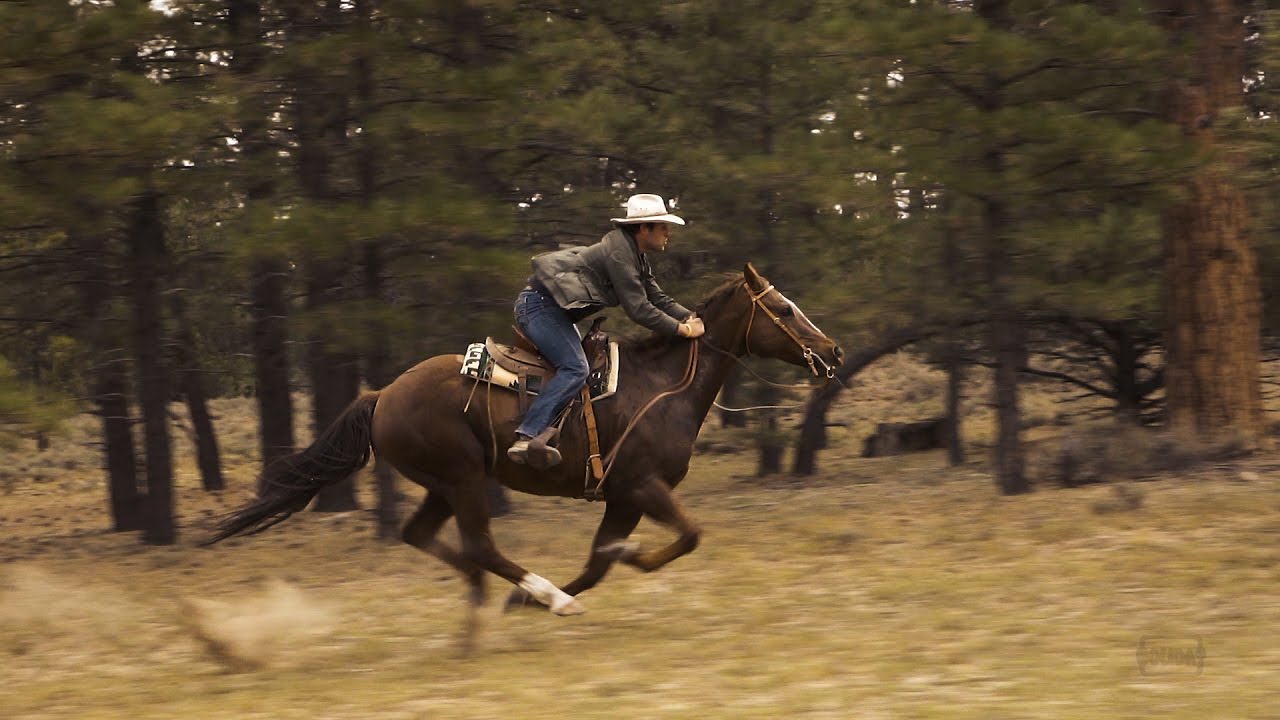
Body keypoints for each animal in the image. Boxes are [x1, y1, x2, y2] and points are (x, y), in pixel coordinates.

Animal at [206, 262, 844, 622]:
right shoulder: (643, 486)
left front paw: (536, 597)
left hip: (443, 484)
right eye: (784, 308)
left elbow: (598, 561)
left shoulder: (621, 497)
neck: (665, 385)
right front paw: (597, 574)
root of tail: (383, 393)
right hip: (463, 476)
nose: (833, 350)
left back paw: (503, 598)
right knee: (481, 546)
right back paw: (541, 593)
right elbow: (684, 537)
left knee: (426, 537)